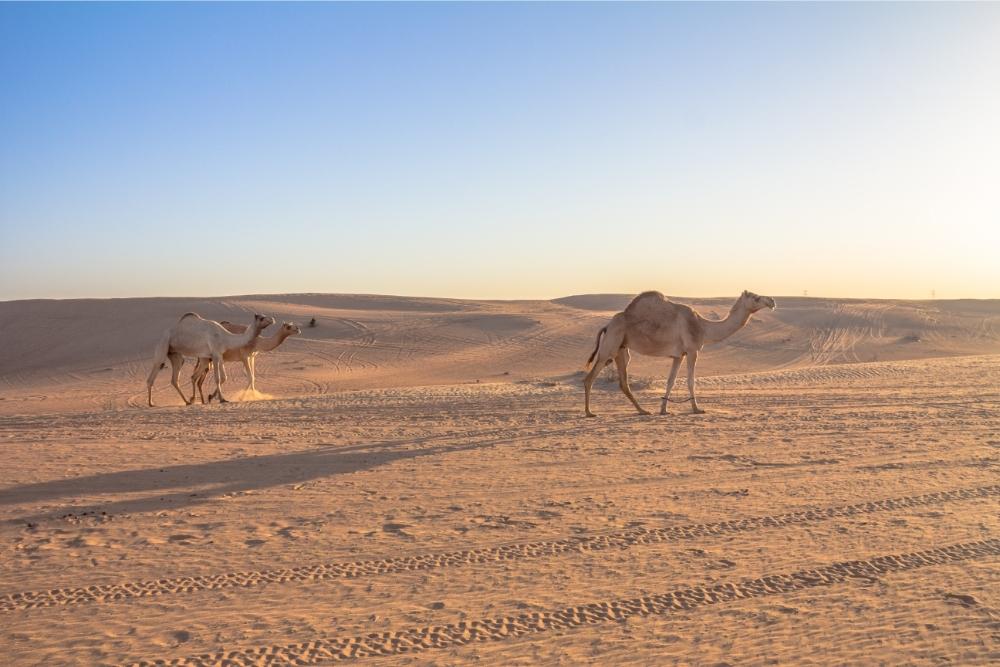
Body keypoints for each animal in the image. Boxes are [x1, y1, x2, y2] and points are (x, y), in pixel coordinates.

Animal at [143, 314, 272, 408]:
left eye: (265, 316)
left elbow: (224, 377)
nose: (272, 319)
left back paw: (188, 401)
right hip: (163, 344)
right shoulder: (214, 354)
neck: (225, 337)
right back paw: (151, 403)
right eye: (261, 318)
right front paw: (222, 399)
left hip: (175, 353)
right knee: (154, 372)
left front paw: (216, 398)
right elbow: (218, 378)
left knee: (176, 377)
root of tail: (163, 334)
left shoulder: (219, 355)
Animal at [584, 290, 776, 418]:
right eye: (756, 297)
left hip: (621, 350)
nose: (772, 300)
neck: (703, 327)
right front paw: (697, 409)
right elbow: (690, 381)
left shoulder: (678, 355)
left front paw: (663, 409)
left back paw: (643, 411)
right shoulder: (692, 351)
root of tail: (607, 325)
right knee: (590, 377)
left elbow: (671, 381)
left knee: (623, 382)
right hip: (610, 346)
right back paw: (589, 412)